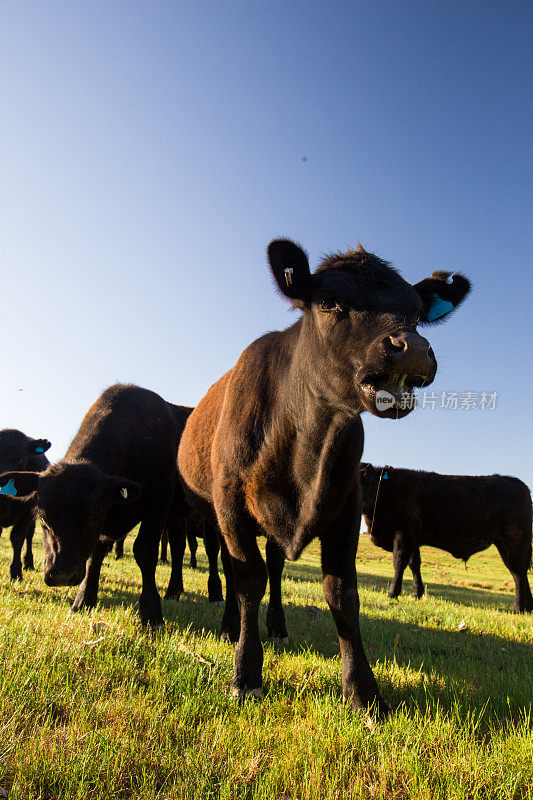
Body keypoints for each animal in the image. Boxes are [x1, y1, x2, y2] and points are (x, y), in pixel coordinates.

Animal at [0, 428, 50, 580]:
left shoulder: (28, 512)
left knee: (30, 535)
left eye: (22, 459)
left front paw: (16, 572)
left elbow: (17, 538)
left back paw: (28, 563)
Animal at [177, 236, 468, 712]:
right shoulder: (231, 502)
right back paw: (230, 625)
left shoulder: (347, 505)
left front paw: (363, 691)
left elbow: (341, 592)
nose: (412, 345)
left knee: (276, 565)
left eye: (415, 315)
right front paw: (245, 674)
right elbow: (248, 578)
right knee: (235, 568)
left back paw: (277, 625)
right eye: (330, 302)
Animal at [358, 462, 532, 612]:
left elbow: (399, 562)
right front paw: (417, 594)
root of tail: (516, 482)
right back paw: (528, 607)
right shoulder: (414, 540)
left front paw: (393, 594)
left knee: (518, 573)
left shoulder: (404, 532)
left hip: (513, 542)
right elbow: (415, 565)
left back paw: (518, 608)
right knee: (522, 572)